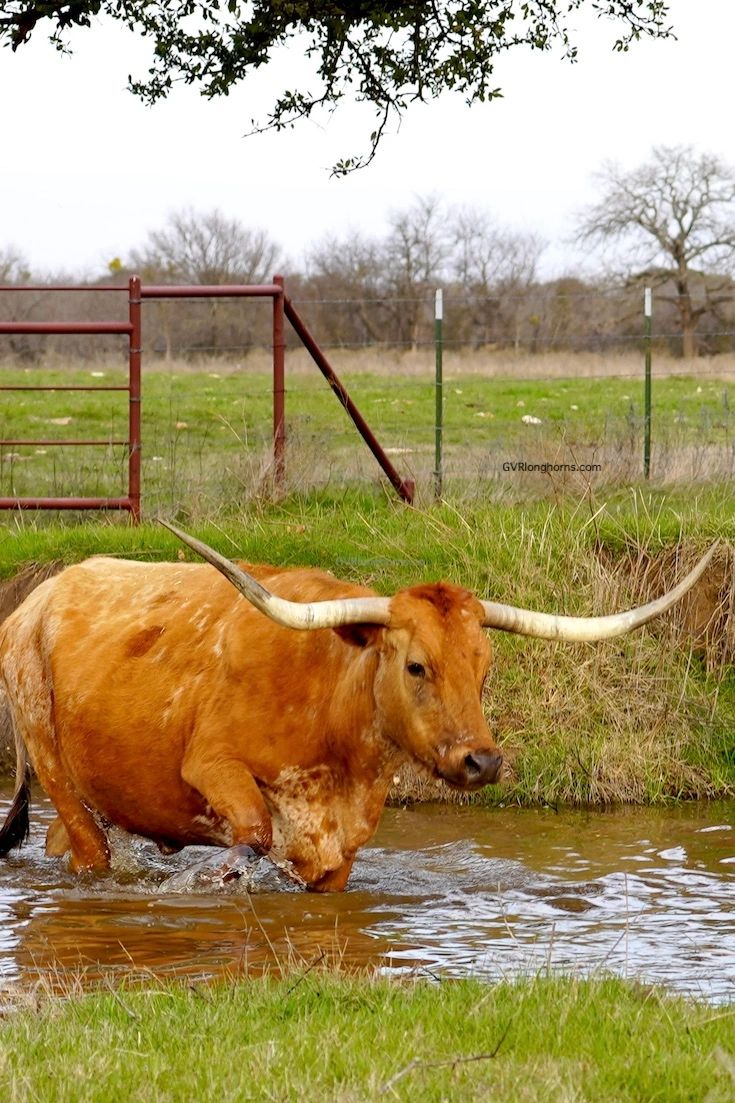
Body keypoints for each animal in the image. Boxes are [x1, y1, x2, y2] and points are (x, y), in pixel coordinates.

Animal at [0, 523, 715, 891]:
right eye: (416, 665)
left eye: (485, 667)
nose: (482, 761)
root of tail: (39, 598)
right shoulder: (211, 767)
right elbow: (253, 836)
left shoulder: (341, 857)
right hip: (56, 772)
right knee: (89, 850)